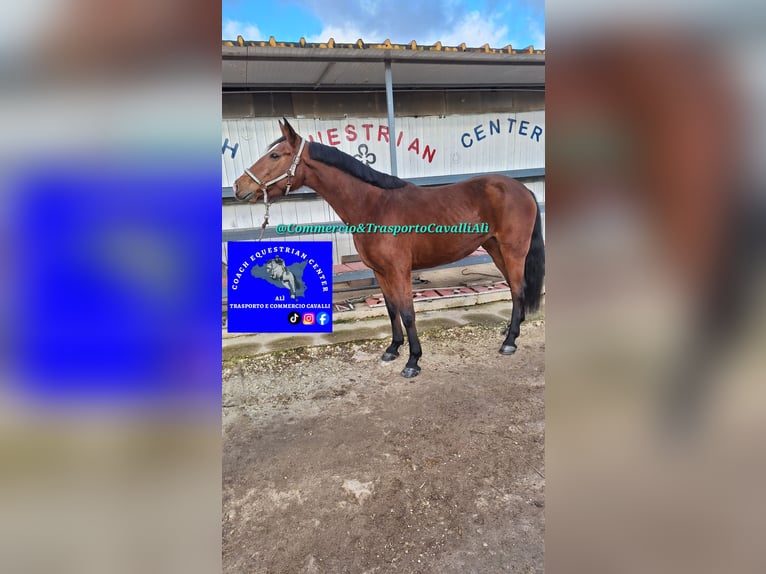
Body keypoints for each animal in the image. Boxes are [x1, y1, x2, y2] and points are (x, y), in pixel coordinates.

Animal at [234, 120, 544, 380]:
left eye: (276, 156)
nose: (239, 186)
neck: (375, 206)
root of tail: (522, 190)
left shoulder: (399, 271)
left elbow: (407, 313)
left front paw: (413, 361)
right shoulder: (380, 271)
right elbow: (391, 309)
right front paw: (393, 350)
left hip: (513, 250)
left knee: (518, 288)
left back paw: (509, 341)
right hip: (494, 248)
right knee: (514, 289)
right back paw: (509, 331)